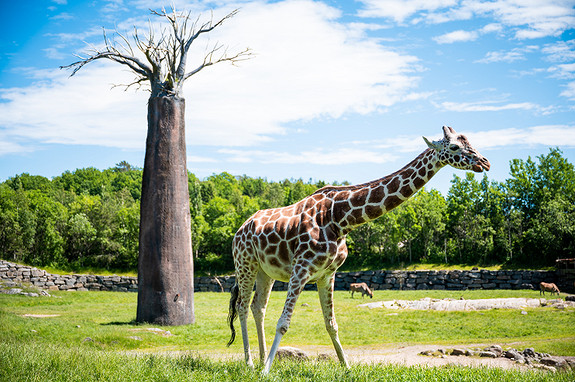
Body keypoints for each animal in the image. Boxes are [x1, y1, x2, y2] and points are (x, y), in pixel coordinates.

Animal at [225, 126, 490, 374]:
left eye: (470, 142)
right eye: (454, 147)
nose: (484, 162)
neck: (340, 218)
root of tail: (239, 230)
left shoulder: (327, 274)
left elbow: (331, 324)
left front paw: (347, 367)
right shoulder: (301, 268)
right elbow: (283, 322)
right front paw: (267, 372)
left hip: (265, 271)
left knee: (258, 307)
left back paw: (260, 359)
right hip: (245, 264)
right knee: (242, 307)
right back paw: (251, 363)